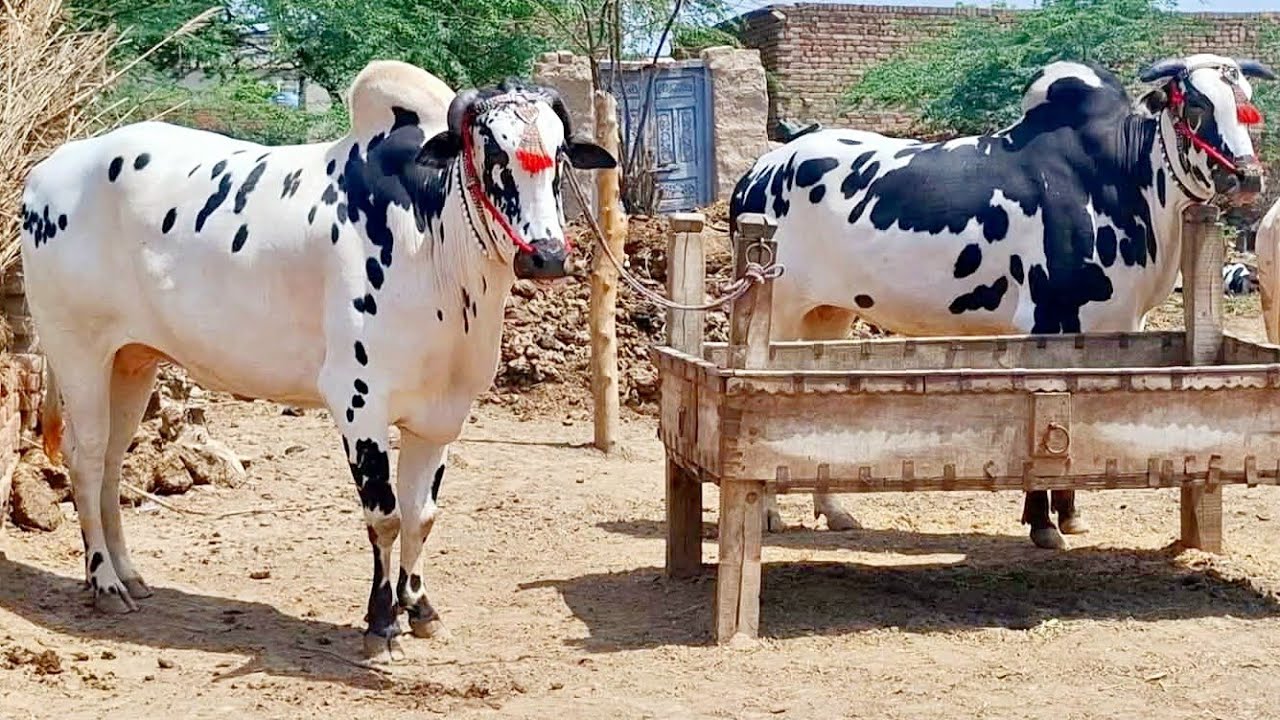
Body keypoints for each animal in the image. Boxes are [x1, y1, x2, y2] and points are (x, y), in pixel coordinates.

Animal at [19, 60, 615, 663]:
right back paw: (104, 584)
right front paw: (382, 622)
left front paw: (421, 609)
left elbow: (421, 516)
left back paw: (130, 575)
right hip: (79, 352)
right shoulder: (358, 403)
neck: (433, 242)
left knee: (114, 463)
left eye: (560, 155)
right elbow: (386, 516)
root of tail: (51, 167)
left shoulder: (439, 416)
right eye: (491, 151)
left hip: (132, 362)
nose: (547, 256)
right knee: (86, 460)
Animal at [728, 54, 1274, 550]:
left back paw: (836, 511)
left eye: (1248, 104)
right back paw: (770, 514)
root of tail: (759, 169)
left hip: (829, 314)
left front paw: (1069, 514)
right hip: (778, 313)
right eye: (1197, 105)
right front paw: (1042, 523)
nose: (1248, 177)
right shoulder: (1047, 322)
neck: (1122, 179)